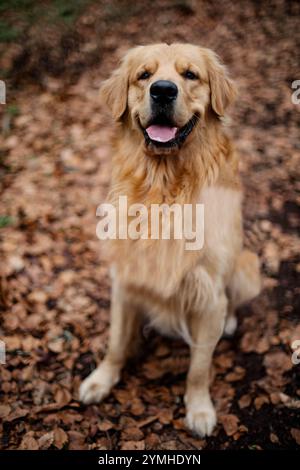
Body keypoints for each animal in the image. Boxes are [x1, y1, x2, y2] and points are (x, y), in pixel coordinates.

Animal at [79, 44, 260, 436]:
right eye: (143, 75)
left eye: (190, 74)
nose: (162, 90)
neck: (164, 187)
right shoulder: (125, 280)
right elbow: (116, 343)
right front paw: (101, 380)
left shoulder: (208, 294)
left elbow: (199, 368)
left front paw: (200, 409)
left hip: (247, 267)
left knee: (233, 302)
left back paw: (230, 322)